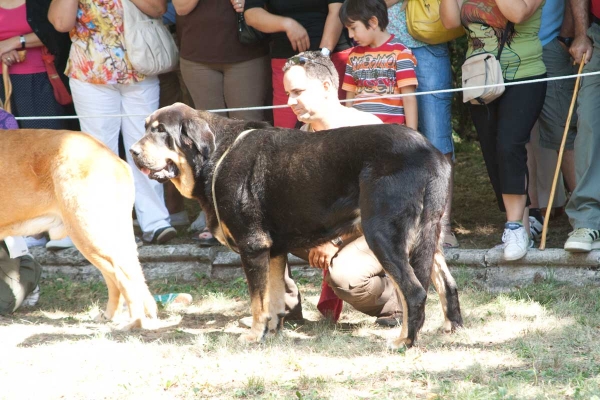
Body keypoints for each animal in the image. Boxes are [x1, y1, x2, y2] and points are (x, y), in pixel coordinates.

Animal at [0, 130, 157, 330]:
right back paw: (109, 316)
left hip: (88, 233)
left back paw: (134, 321)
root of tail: (114, 157)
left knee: (124, 277)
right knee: (118, 277)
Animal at [129, 104, 462, 350]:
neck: (217, 155)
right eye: (146, 127)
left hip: (382, 234)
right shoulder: (274, 249)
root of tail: (430, 152)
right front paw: (273, 332)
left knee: (413, 292)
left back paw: (405, 341)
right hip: (427, 235)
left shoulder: (252, 246)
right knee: (446, 284)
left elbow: (257, 301)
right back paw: (452, 328)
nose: (132, 151)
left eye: (161, 132)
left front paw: (254, 335)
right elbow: (274, 297)